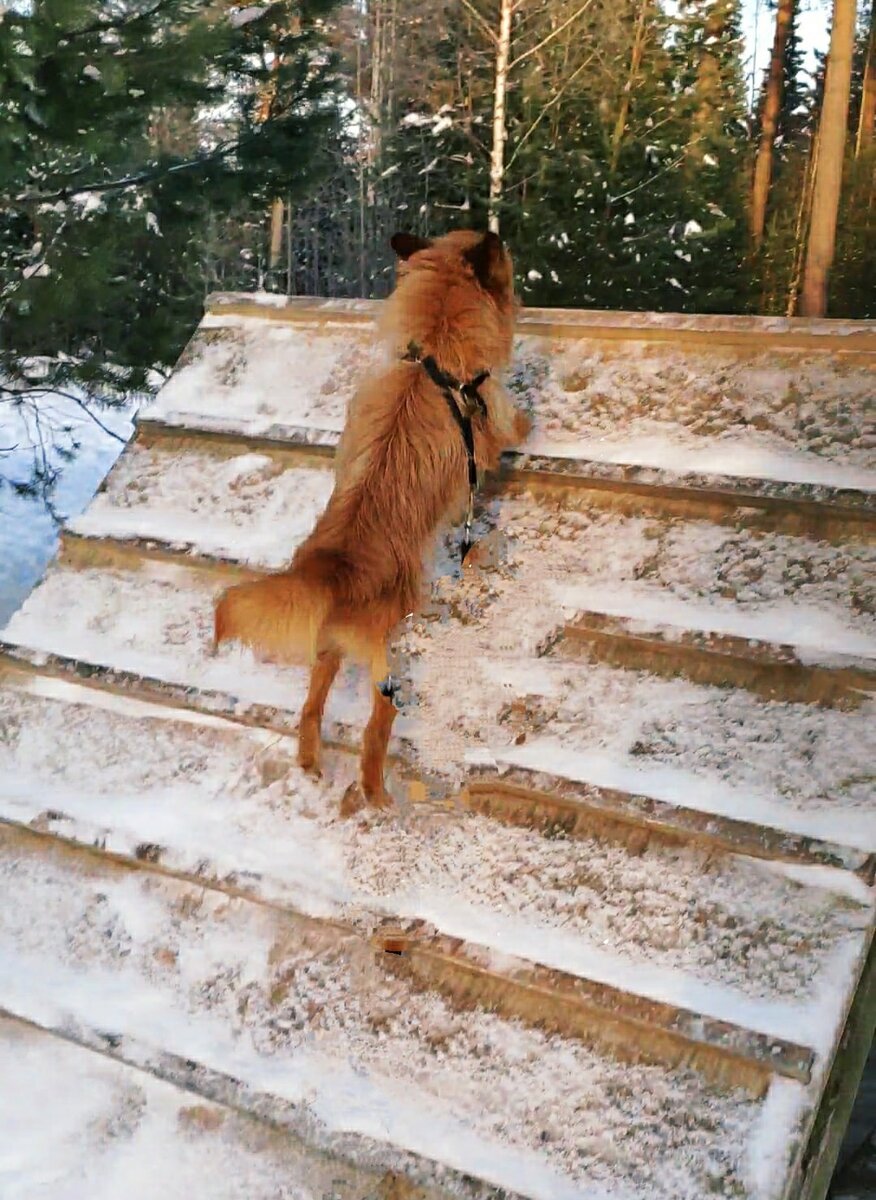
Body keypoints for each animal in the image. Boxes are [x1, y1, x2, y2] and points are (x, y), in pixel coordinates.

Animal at [213, 226, 525, 806]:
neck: (432, 352)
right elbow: (515, 427)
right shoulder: (491, 422)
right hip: (390, 657)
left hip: (325, 651)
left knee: (310, 708)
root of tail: (333, 571)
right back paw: (375, 791)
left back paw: (311, 764)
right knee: (375, 726)